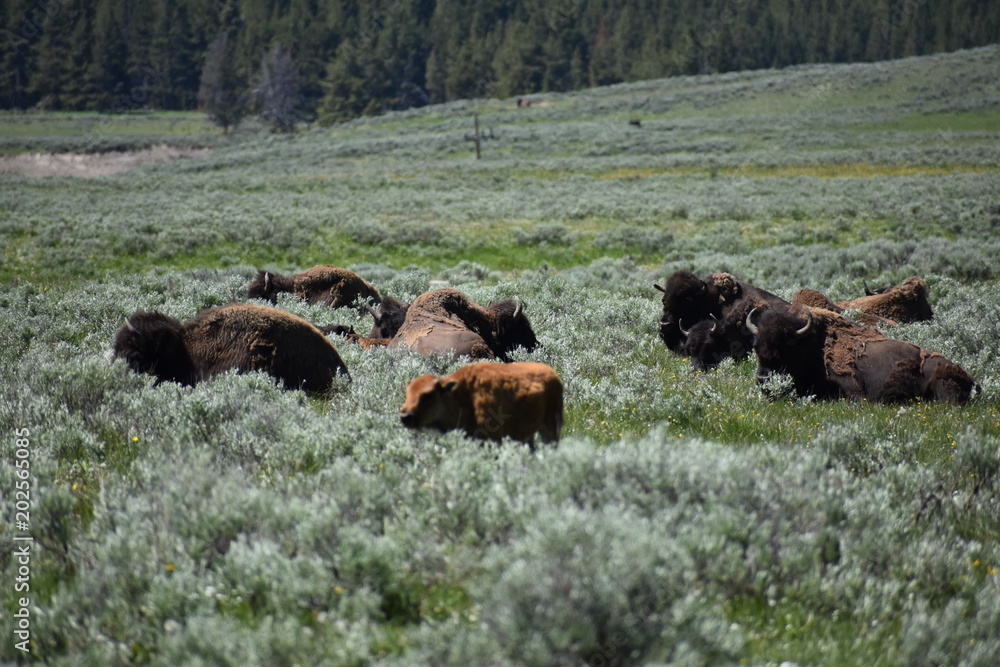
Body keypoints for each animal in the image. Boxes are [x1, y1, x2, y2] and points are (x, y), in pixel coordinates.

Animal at [399, 361, 563, 446]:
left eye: (428, 395)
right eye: (407, 393)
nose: (405, 417)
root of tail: (553, 374)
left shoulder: (493, 438)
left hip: (550, 426)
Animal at [746, 306, 976, 403]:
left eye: (785, 349)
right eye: (756, 347)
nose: (762, 379)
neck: (811, 348)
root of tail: (970, 378)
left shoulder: (853, 389)